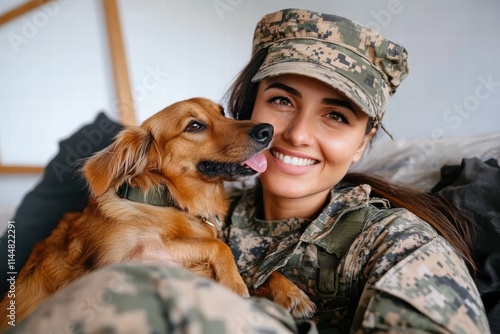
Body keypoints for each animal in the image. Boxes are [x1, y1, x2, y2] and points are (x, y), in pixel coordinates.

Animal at [0, 97, 312, 328]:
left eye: (222, 112)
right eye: (194, 125)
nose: (267, 130)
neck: (166, 202)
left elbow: (252, 268)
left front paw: (290, 292)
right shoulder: (128, 258)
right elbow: (218, 246)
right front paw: (234, 284)